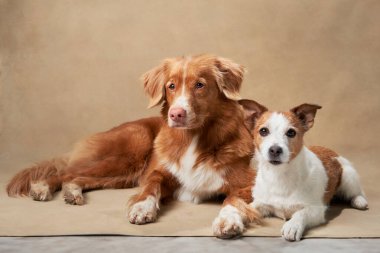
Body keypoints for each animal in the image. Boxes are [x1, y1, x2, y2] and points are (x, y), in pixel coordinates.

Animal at [240, 99, 368, 241]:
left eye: (291, 132)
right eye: (263, 131)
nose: (275, 150)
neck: (280, 174)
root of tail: (331, 151)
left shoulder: (316, 209)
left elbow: (302, 213)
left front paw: (293, 225)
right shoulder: (260, 203)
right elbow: (244, 209)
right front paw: (231, 220)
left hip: (348, 177)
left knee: (358, 192)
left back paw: (359, 201)